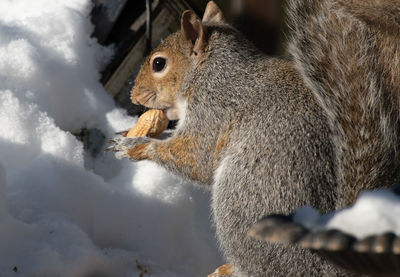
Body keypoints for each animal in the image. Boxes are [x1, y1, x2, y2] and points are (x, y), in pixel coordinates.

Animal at [106, 1, 400, 274]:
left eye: (159, 63)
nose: (134, 96)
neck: (212, 70)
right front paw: (129, 132)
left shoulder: (214, 108)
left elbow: (196, 159)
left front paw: (136, 145)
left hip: (240, 197)